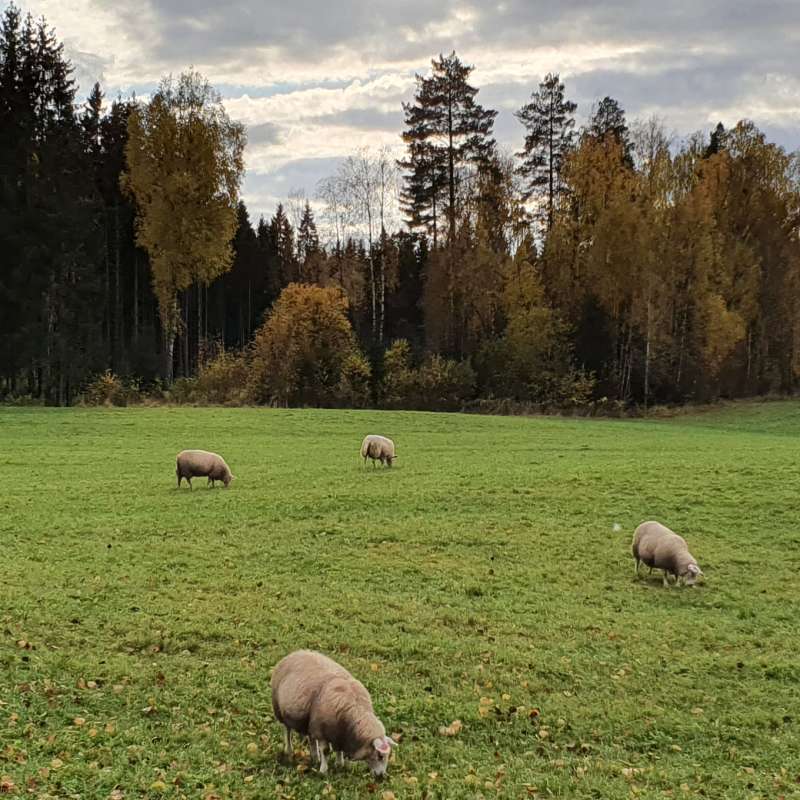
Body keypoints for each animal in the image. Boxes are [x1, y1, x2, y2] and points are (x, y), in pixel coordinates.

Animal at [272, 648, 396, 776]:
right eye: (380, 756)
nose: (381, 776)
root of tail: (296, 652)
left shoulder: (339, 733)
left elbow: (339, 749)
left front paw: (339, 764)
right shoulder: (322, 730)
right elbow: (326, 750)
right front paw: (323, 770)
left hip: (310, 720)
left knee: (311, 738)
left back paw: (315, 757)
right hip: (280, 710)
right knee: (287, 731)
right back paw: (289, 750)